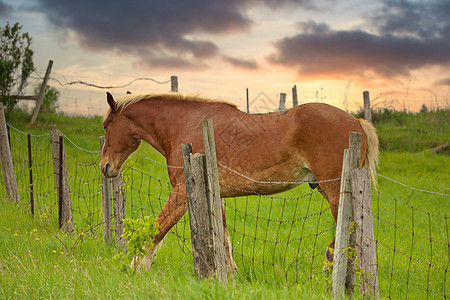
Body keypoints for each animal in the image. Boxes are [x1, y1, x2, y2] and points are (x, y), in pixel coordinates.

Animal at [100, 91, 378, 272]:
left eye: (105, 125)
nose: (105, 167)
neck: (186, 125)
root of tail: (357, 122)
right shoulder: (216, 195)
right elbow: (223, 240)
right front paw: (229, 277)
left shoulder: (180, 194)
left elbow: (157, 229)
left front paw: (137, 267)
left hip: (335, 190)